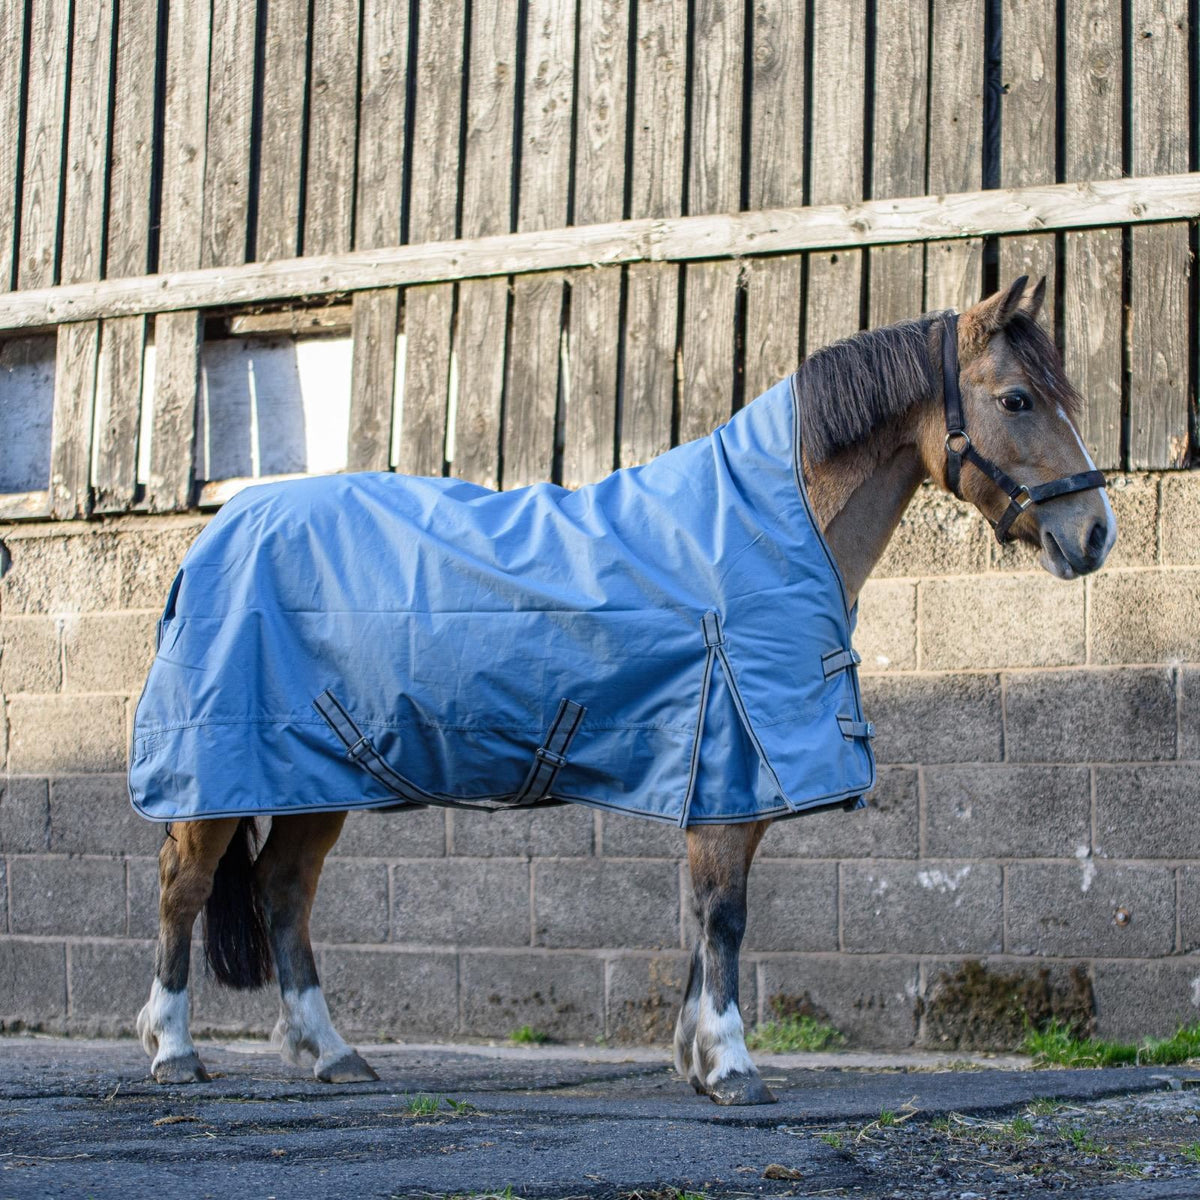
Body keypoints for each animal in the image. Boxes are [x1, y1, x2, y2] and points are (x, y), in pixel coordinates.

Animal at [133, 276, 1116, 1105]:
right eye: (1018, 399)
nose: (1095, 533)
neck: (763, 530)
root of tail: (220, 530)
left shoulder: (727, 779)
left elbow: (702, 918)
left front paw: (694, 1056)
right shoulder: (730, 763)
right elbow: (723, 916)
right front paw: (731, 1066)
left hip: (320, 774)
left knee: (282, 893)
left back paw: (330, 1054)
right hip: (220, 772)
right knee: (185, 885)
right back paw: (174, 1050)